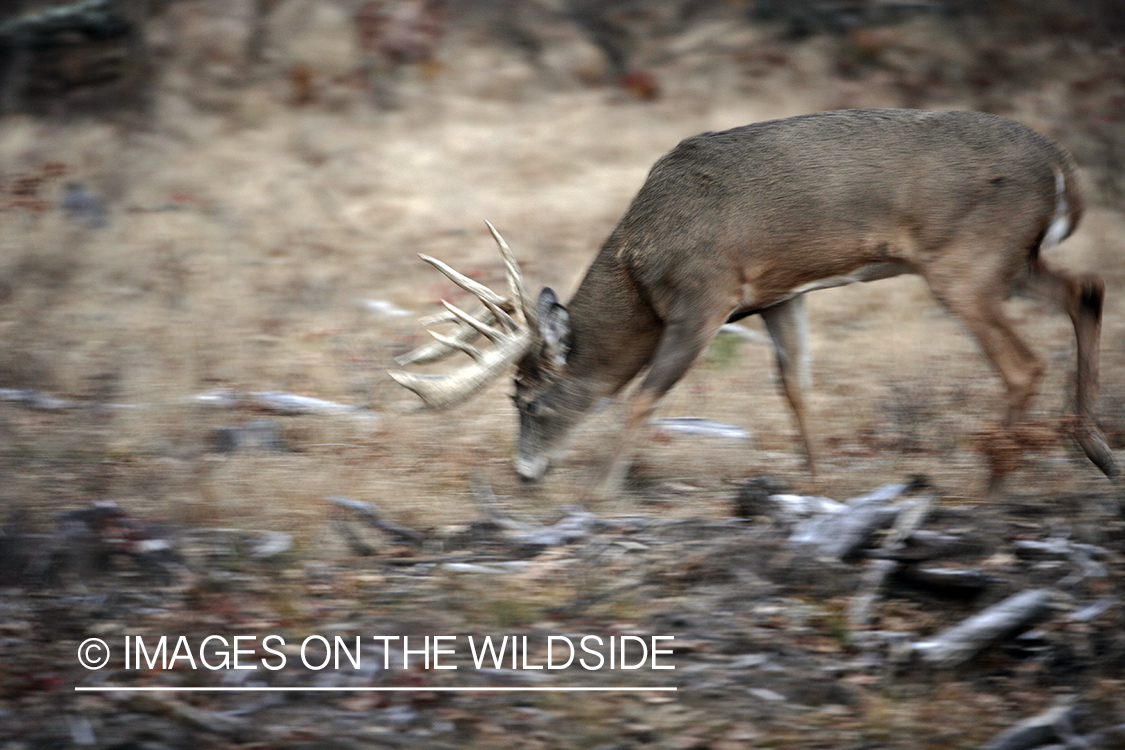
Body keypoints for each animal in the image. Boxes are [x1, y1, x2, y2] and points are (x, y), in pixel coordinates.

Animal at [389, 106, 1116, 492]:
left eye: (529, 402)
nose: (524, 474)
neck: (640, 260)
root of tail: (1060, 169)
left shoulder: (704, 296)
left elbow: (641, 398)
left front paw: (600, 493)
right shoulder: (777, 295)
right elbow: (795, 387)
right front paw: (817, 484)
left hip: (964, 262)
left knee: (1022, 362)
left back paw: (995, 484)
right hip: (1011, 259)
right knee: (1087, 288)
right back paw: (1095, 450)